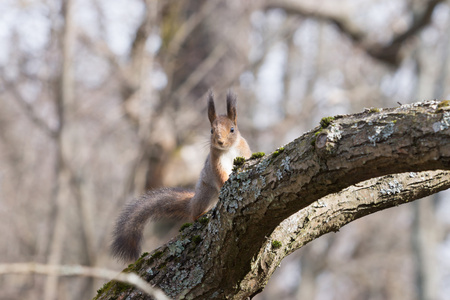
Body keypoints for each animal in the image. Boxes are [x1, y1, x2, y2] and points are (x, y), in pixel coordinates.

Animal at [110, 91, 251, 260]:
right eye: (211, 130)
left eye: (232, 129)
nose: (220, 141)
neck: (228, 150)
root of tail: (193, 202)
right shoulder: (215, 161)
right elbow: (219, 175)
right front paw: (225, 182)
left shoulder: (244, 152)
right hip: (206, 194)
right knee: (194, 215)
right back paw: (201, 213)